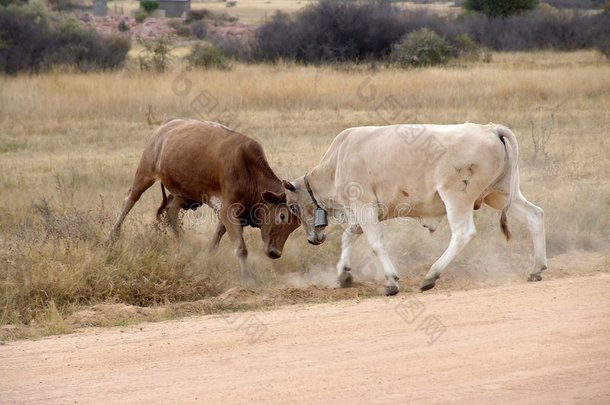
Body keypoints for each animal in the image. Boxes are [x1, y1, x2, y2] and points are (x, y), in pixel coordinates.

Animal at [110, 118, 300, 276]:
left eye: (296, 225)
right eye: (282, 216)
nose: (275, 253)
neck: (249, 172)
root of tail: (167, 125)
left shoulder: (227, 211)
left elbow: (217, 235)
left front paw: (207, 257)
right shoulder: (228, 210)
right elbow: (240, 248)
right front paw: (248, 277)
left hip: (185, 192)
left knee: (171, 209)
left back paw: (182, 244)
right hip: (145, 173)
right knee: (129, 200)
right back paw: (112, 237)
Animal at [284, 121, 548, 296]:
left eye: (292, 207)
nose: (312, 239)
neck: (337, 161)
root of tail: (491, 129)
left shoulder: (364, 207)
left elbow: (375, 243)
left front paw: (391, 282)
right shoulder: (365, 213)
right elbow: (348, 236)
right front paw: (344, 274)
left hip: (456, 197)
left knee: (463, 233)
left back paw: (431, 276)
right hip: (500, 194)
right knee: (534, 216)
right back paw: (536, 269)